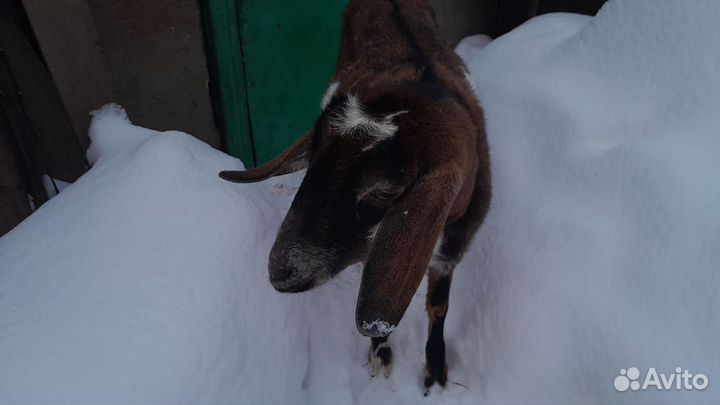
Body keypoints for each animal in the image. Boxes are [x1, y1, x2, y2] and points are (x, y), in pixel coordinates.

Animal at [220, 0, 491, 391]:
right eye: (313, 160)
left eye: (384, 190)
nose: (280, 270)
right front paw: (381, 355)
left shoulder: (452, 249)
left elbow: (439, 306)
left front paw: (435, 371)